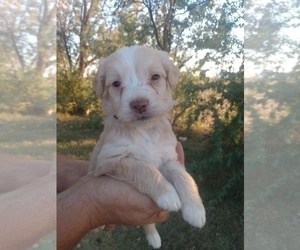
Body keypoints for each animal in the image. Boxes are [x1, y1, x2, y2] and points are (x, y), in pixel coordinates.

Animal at [88, 46, 206, 248]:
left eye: (155, 77)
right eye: (116, 83)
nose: (139, 104)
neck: (144, 130)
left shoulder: (168, 157)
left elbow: (184, 177)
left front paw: (196, 210)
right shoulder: (110, 159)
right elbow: (143, 167)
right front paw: (167, 194)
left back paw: (154, 238)